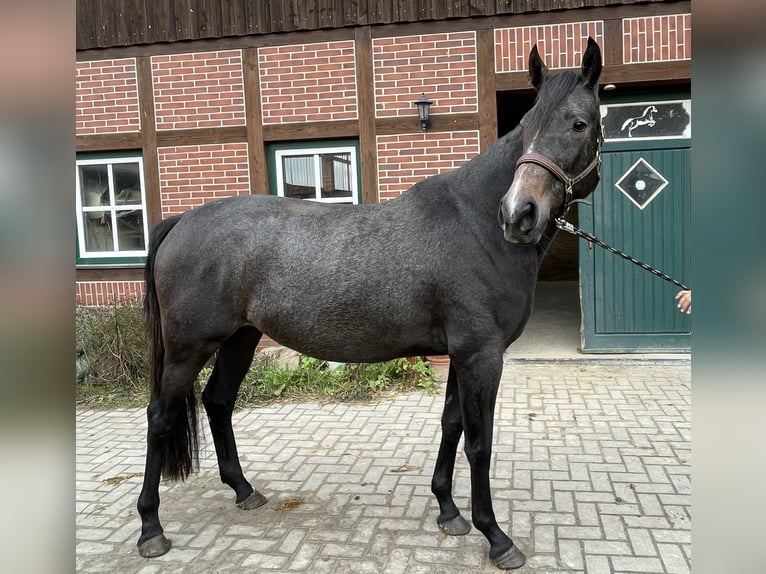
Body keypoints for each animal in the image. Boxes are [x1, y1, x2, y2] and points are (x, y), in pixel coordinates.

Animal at [138, 39, 608, 572]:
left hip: (241, 338)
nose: (519, 214)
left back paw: (244, 490)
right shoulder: (482, 355)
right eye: (527, 124)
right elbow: (479, 443)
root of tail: (182, 220)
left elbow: (451, 426)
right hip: (187, 349)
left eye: (579, 123)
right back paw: (151, 528)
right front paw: (496, 537)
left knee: (218, 402)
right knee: (160, 418)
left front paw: (448, 512)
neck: (476, 225)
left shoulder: (461, 354)